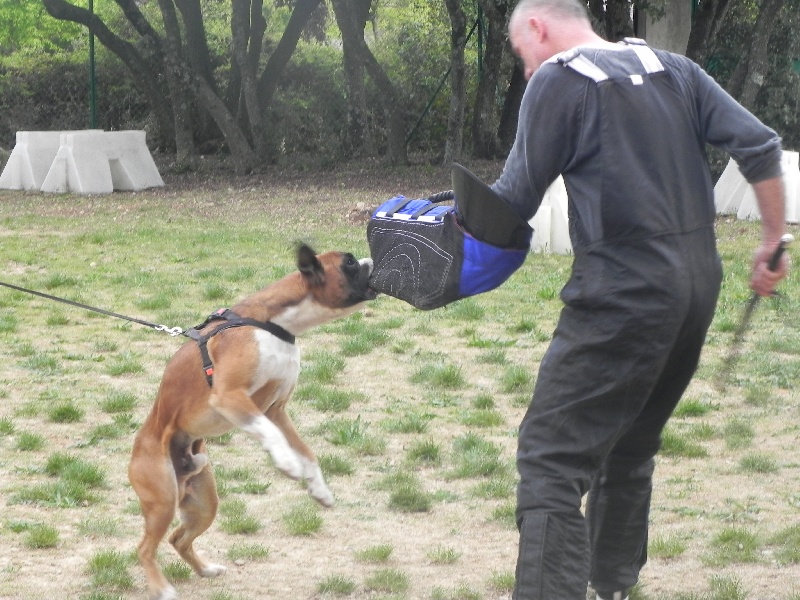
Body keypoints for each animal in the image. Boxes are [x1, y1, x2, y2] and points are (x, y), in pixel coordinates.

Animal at [129, 245, 378, 600]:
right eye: (350, 263)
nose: (372, 262)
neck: (274, 323)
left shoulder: (276, 409)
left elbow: (307, 452)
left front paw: (319, 489)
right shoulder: (230, 398)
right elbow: (271, 434)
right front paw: (287, 463)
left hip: (203, 505)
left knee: (179, 539)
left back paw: (206, 569)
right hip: (162, 500)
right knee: (145, 548)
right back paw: (163, 589)